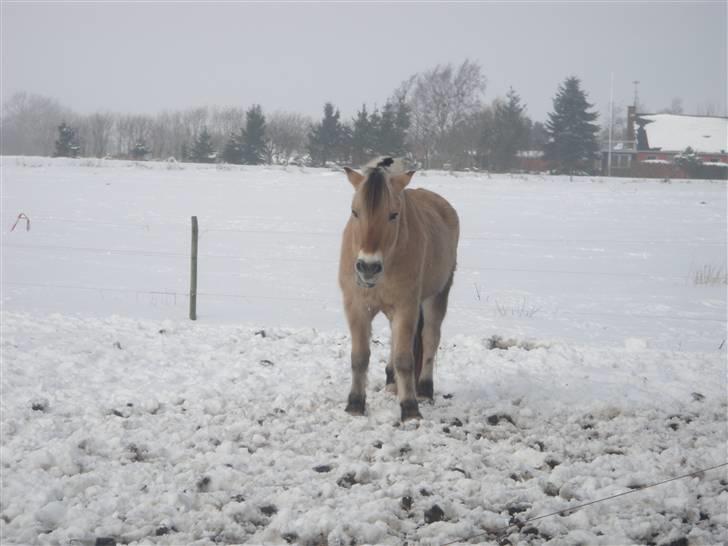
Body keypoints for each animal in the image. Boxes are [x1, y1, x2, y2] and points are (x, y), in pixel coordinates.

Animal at [336, 157, 460, 420]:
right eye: (354, 212)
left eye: (393, 215)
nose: (368, 267)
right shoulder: (356, 306)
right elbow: (359, 357)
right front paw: (355, 404)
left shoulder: (406, 306)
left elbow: (405, 358)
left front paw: (410, 409)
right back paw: (392, 382)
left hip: (437, 296)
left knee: (430, 339)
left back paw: (424, 390)